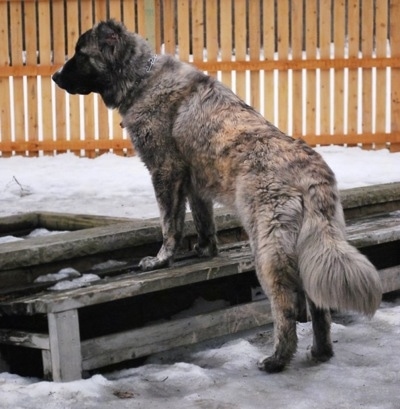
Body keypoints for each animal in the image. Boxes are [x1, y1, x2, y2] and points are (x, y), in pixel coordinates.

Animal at [52, 19, 382, 372]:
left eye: (80, 54)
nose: (55, 77)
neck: (142, 79)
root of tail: (310, 170)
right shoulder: (195, 185)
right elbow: (202, 221)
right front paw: (204, 251)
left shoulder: (165, 172)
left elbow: (169, 225)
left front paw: (160, 260)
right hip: (308, 243)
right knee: (319, 306)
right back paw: (320, 352)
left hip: (268, 248)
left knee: (286, 304)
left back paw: (277, 359)